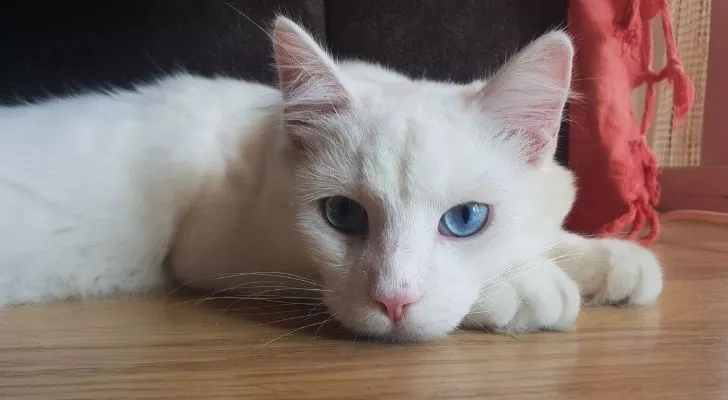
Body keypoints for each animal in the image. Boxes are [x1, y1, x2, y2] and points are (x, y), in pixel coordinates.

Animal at [0, 15, 660, 340]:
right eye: (342, 216)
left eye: (466, 220)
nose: (394, 301)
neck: (259, 137)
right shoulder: (216, 254)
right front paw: (525, 287)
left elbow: (547, 236)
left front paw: (609, 259)